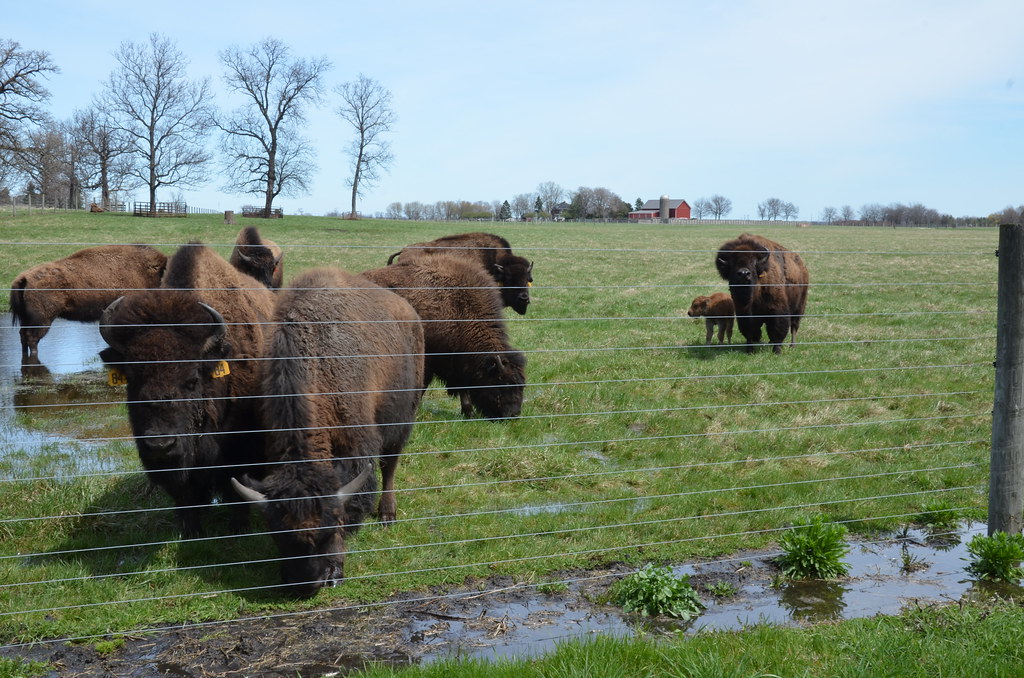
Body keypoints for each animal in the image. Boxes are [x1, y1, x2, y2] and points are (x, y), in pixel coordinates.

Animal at [10, 244, 167, 358]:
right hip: (42, 319)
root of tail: (24, 278)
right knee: (32, 337)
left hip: (27, 318)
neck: (147, 272)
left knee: (23, 335)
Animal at [99, 243, 276, 536]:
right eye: (132, 379)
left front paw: (237, 529)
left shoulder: (241, 447)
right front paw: (190, 531)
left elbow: (236, 487)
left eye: (192, 379)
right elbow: (186, 495)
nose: (160, 445)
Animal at [231, 267, 425, 597]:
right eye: (277, 535)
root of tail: (407, 311)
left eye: (330, 528)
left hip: (403, 416)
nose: (306, 584)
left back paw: (388, 515)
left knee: (390, 465)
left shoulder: (357, 442)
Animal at [363, 254, 526, 420]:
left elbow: (463, 387)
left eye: (521, 386)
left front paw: (468, 412)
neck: (461, 310)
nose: (513, 414)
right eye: (501, 383)